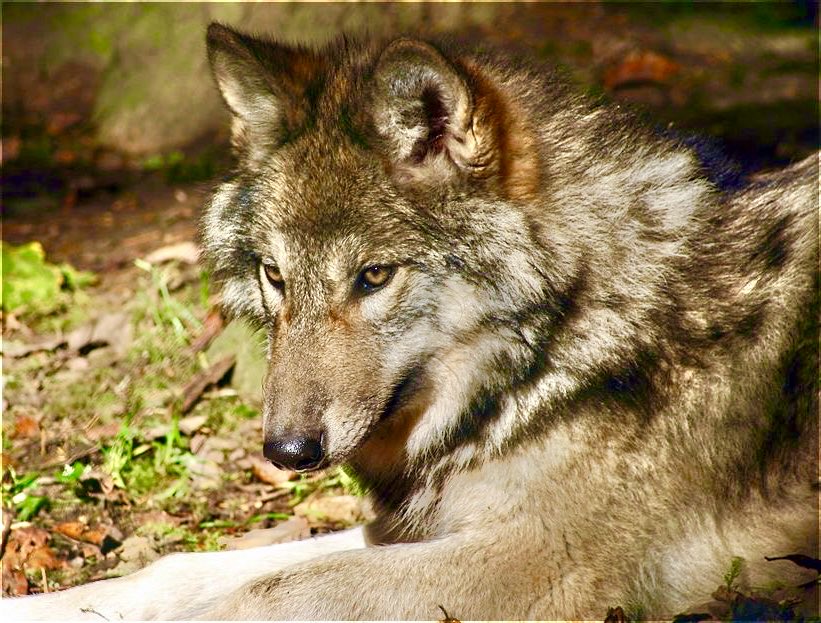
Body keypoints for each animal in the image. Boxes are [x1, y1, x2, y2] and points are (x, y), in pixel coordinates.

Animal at [2, 23, 818, 620]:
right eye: (275, 275)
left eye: (374, 276)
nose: (286, 450)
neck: (566, 337)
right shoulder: (427, 526)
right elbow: (176, 570)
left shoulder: (546, 559)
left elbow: (264, 592)